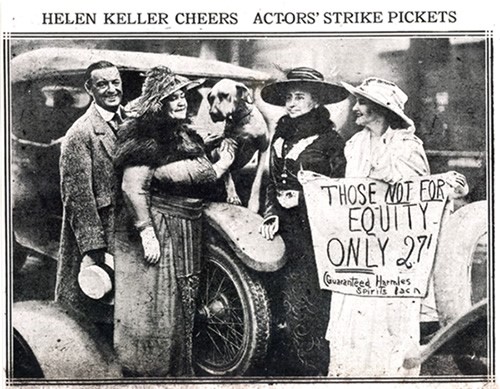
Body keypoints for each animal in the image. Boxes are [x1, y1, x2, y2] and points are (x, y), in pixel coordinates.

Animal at [207, 79, 270, 212]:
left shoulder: (264, 148)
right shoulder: (226, 148)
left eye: (224, 95)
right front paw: (233, 195)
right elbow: (228, 175)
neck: (241, 120)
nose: (212, 113)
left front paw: (253, 204)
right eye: (211, 98)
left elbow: (257, 180)